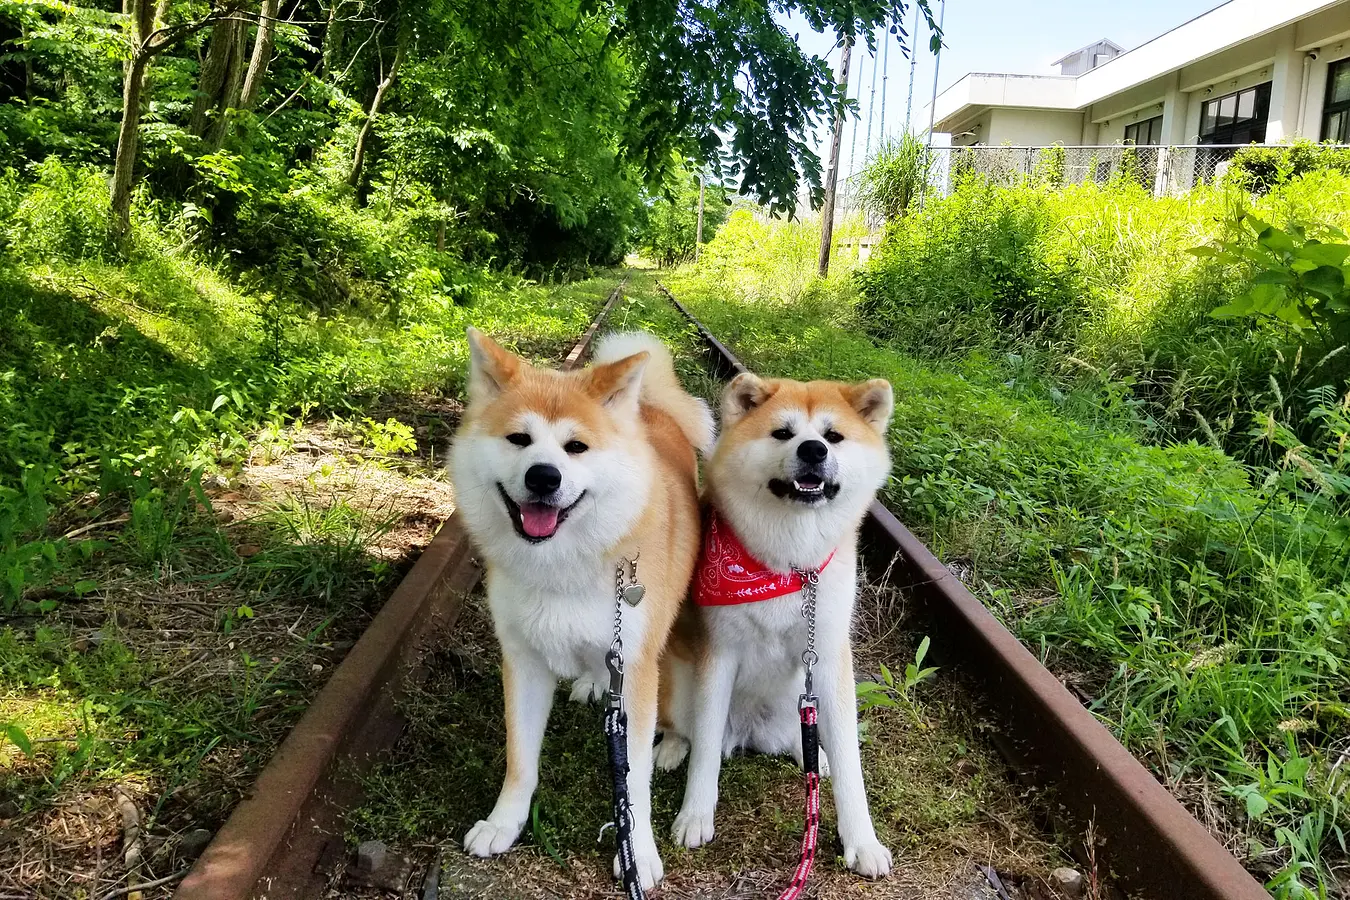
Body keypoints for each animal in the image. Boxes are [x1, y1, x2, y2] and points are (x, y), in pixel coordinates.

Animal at [448, 327, 712, 890]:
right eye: (519, 440)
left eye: (576, 447)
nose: (544, 477)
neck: (561, 566)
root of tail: (651, 409)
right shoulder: (522, 661)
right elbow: (520, 762)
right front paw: (504, 823)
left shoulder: (636, 669)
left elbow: (633, 781)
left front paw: (639, 853)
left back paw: (673, 745)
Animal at [656, 372, 896, 879]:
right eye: (783, 433)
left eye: (833, 436)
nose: (813, 451)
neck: (789, 563)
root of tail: (749, 732)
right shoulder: (718, 654)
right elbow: (705, 750)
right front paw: (694, 815)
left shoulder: (829, 656)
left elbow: (851, 763)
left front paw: (862, 842)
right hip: (679, 681)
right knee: (687, 730)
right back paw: (671, 748)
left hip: (799, 699)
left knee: (803, 740)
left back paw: (813, 756)